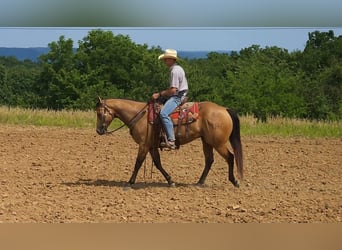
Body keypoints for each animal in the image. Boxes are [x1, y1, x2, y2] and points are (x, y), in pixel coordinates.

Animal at [96, 96, 243, 188]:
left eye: (99, 113)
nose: (98, 130)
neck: (140, 116)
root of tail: (224, 109)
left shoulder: (143, 145)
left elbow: (138, 163)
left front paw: (130, 182)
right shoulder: (151, 146)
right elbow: (157, 163)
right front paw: (170, 181)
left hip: (218, 143)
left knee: (230, 157)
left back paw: (234, 181)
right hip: (207, 141)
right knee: (209, 160)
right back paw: (200, 182)